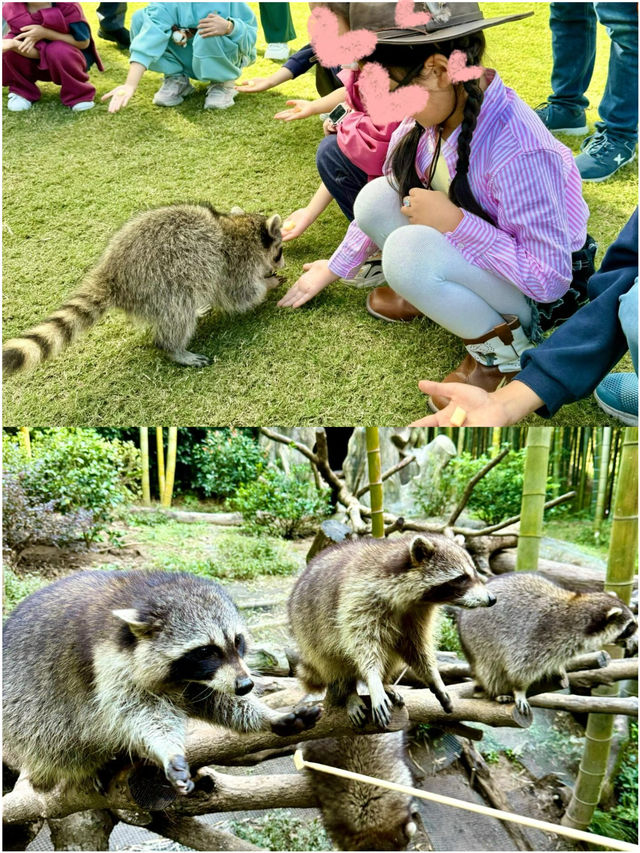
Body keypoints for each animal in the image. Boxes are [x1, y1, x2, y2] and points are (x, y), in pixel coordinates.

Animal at [0, 568, 320, 796]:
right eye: (205, 651)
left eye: (237, 641)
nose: (245, 686)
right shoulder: (109, 664)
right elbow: (137, 710)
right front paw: (168, 749)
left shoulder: (199, 679)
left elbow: (213, 699)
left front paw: (266, 714)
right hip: (25, 711)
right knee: (57, 738)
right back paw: (88, 766)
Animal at [2, 201, 282, 374]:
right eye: (280, 252)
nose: (282, 263)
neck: (238, 227)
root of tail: (112, 274)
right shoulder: (234, 264)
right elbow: (240, 295)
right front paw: (267, 284)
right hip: (160, 285)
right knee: (178, 314)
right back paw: (174, 349)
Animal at [288, 532, 498, 724]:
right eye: (461, 578)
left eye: (475, 573)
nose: (492, 599)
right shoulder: (359, 597)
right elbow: (363, 643)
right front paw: (373, 680)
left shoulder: (416, 614)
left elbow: (417, 647)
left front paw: (433, 677)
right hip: (310, 632)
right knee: (333, 661)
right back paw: (348, 692)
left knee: (391, 654)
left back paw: (386, 683)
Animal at [458, 568, 636, 716]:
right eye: (631, 626)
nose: (635, 640)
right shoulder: (538, 636)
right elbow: (520, 668)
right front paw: (519, 690)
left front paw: (558, 668)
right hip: (478, 644)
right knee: (491, 670)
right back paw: (497, 692)